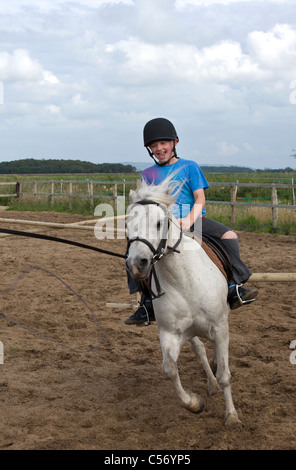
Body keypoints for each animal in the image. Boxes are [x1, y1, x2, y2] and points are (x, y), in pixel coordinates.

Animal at [126, 175, 242, 426]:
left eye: (159, 223)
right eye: (127, 224)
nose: (137, 264)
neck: (184, 280)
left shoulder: (220, 326)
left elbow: (225, 375)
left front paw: (231, 416)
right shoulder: (170, 333)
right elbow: (169, 369)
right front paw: (195, 403)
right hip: (190, 332)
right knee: (200, 350)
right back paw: (210, 385)